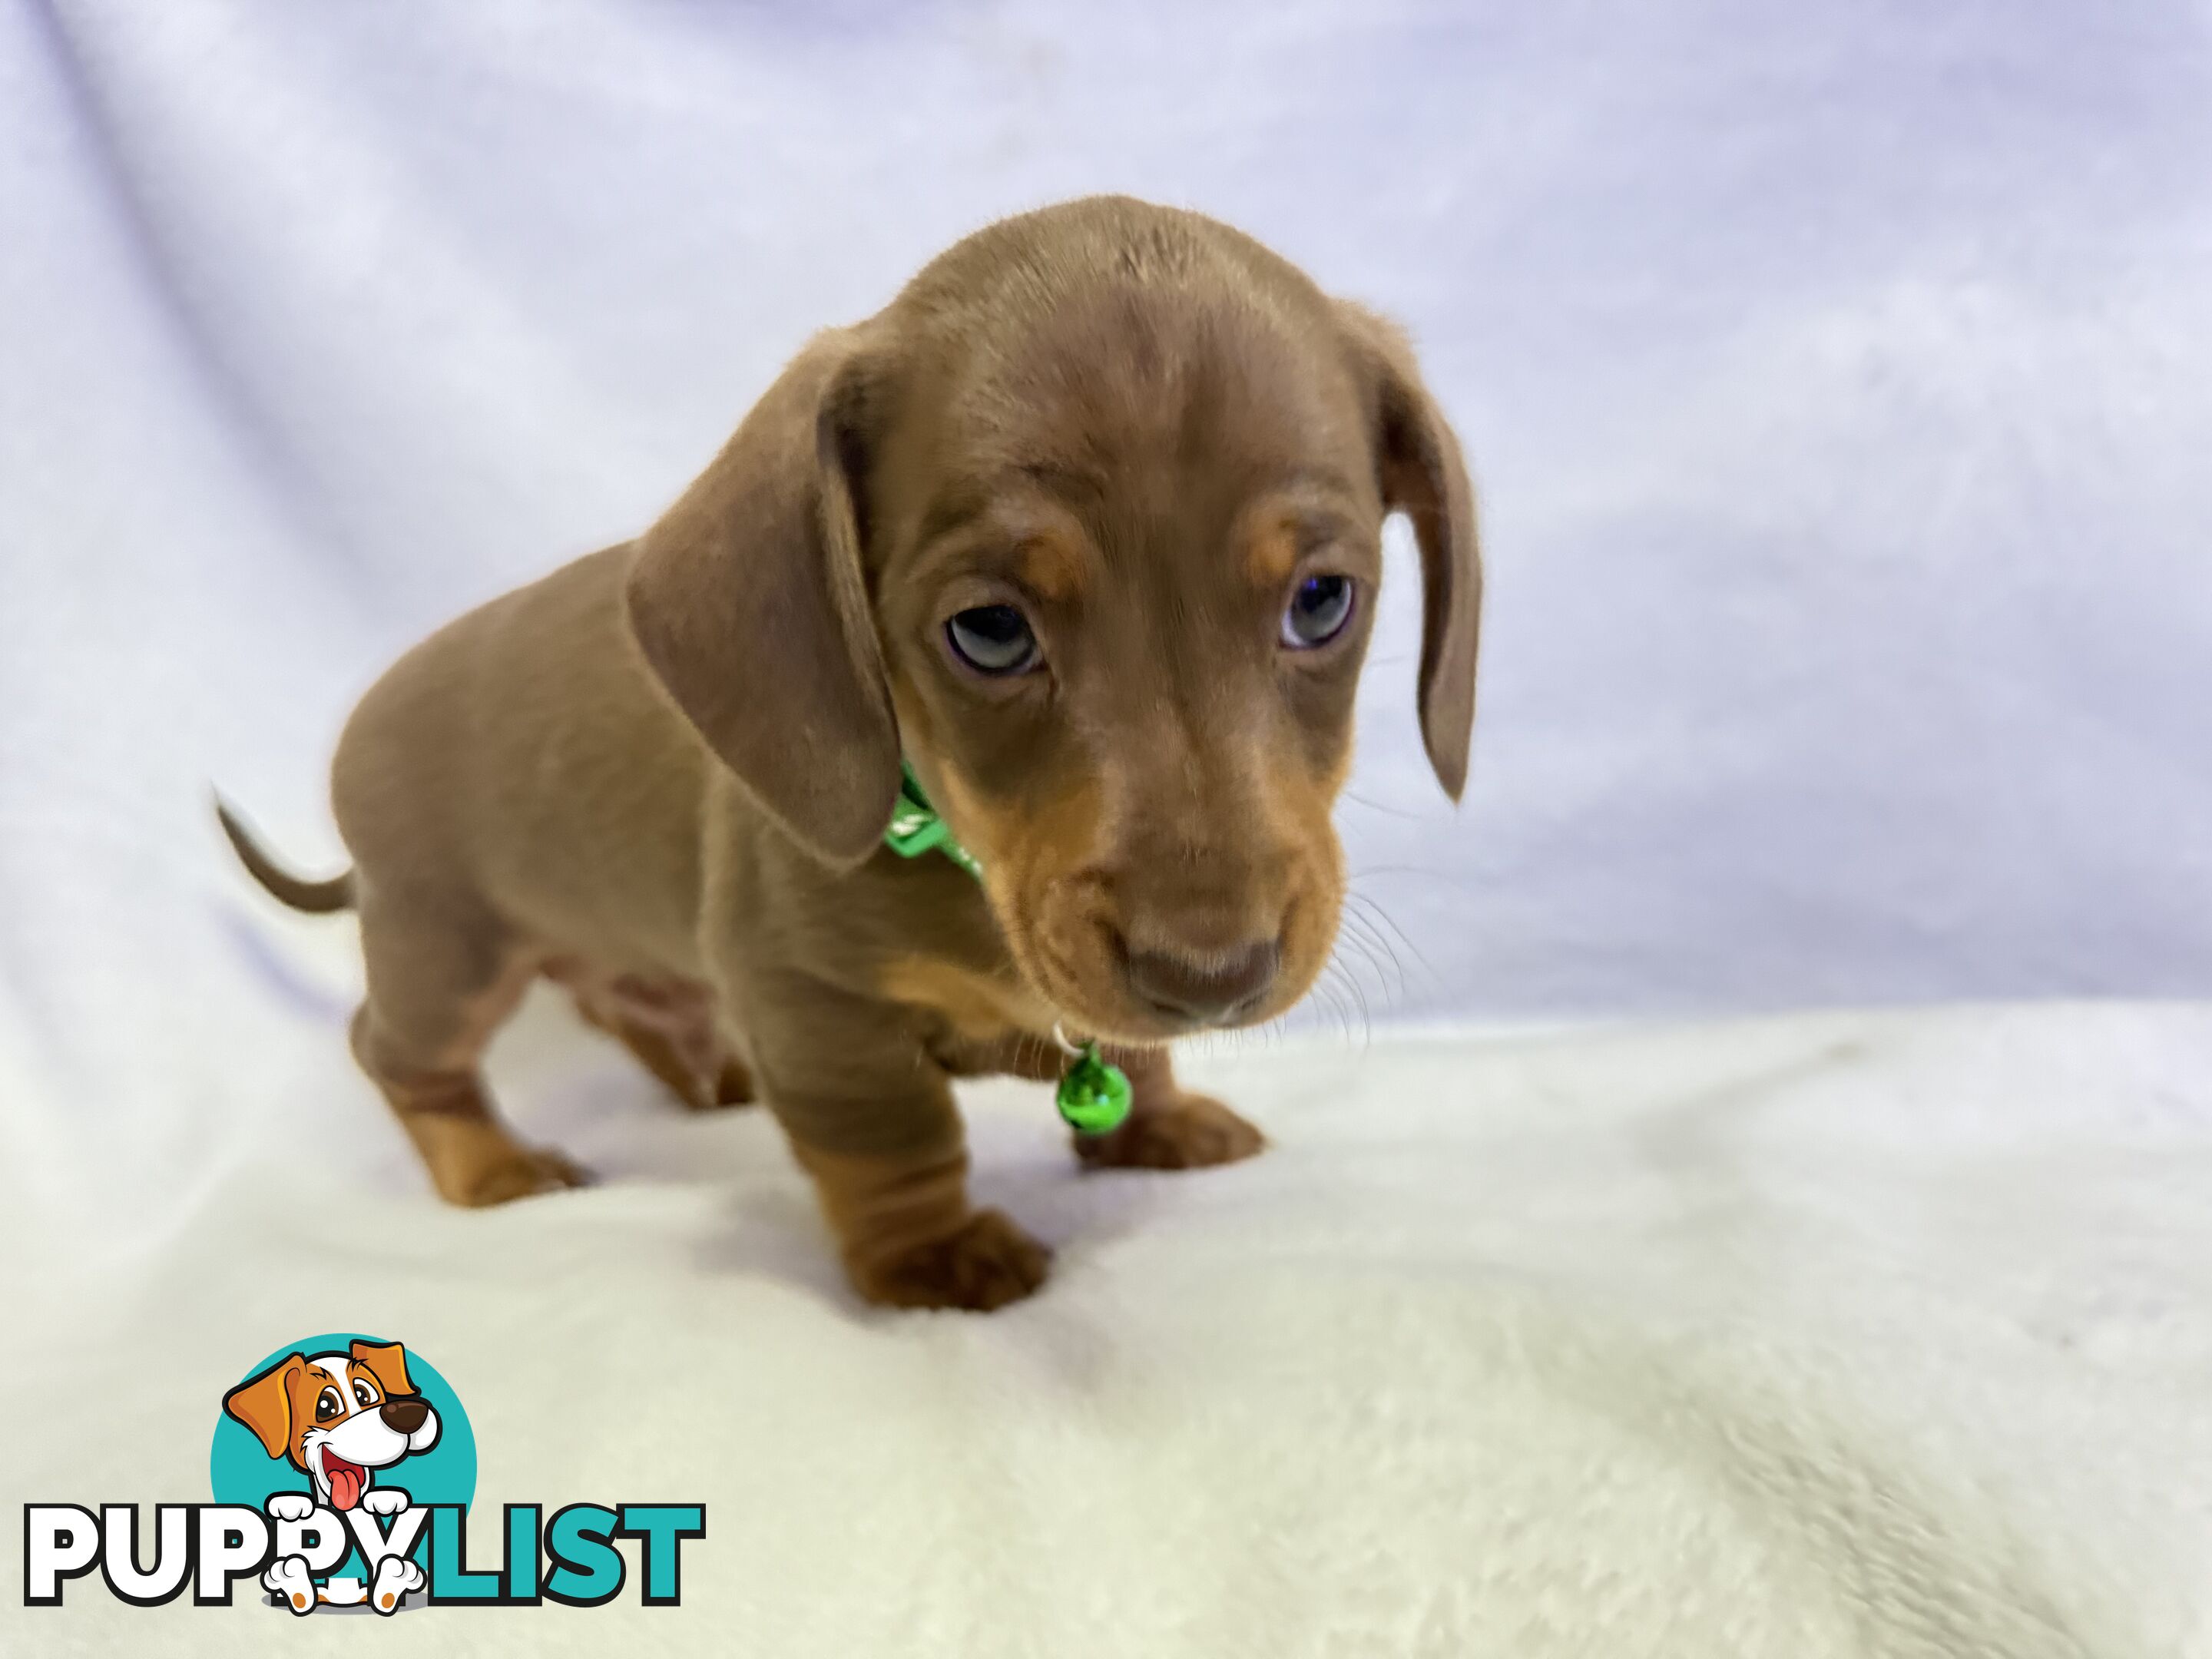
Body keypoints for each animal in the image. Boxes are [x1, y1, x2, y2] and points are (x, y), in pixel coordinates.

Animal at [220, 197, 1486, 1309]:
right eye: (990, 632)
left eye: (1322, 602)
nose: (1211, 977)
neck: (955, 847)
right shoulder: (816, 1005)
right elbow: (895, 1141)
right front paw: (935, 1257)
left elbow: (1134, 1058)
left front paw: (1158, 1122)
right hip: (443, 943)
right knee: (396, 1052)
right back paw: (492, 1165)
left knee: (629, 1004)